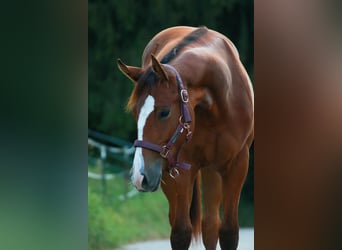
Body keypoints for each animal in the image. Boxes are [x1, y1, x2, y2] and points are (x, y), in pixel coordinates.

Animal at [117, 26, 254, 249]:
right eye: (135, 113)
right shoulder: (180, 167)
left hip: (210, 170)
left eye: (164, 112)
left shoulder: (238, 164)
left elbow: (229, 232)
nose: (139, 176)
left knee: (211, 225)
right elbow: (181, 232)